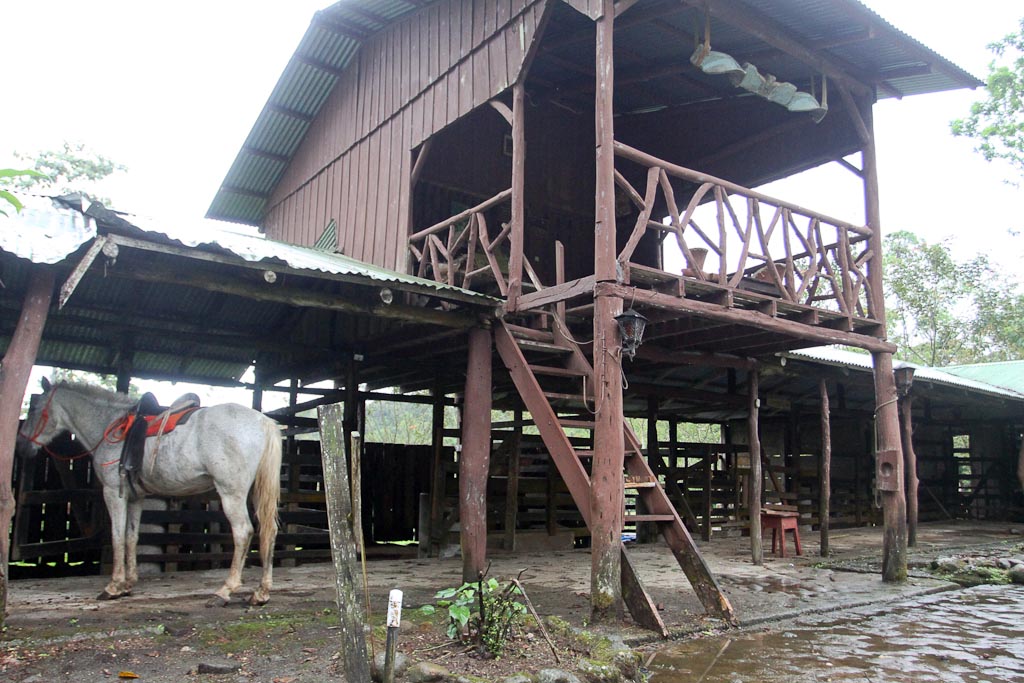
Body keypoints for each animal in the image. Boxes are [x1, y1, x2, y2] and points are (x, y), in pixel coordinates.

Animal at [18, 378, 284, 610]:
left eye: (35, 409)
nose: (22, 444)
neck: (110, 427)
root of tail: (263, 421)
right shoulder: (136, 497)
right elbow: (131, 537)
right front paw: (128, 584)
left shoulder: (114, 493)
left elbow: (117, 537)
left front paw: (113, 586)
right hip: (256, 492)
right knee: (268, 531)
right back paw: (261, 593)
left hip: (231, 493)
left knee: (243, 532)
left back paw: (224, 592)